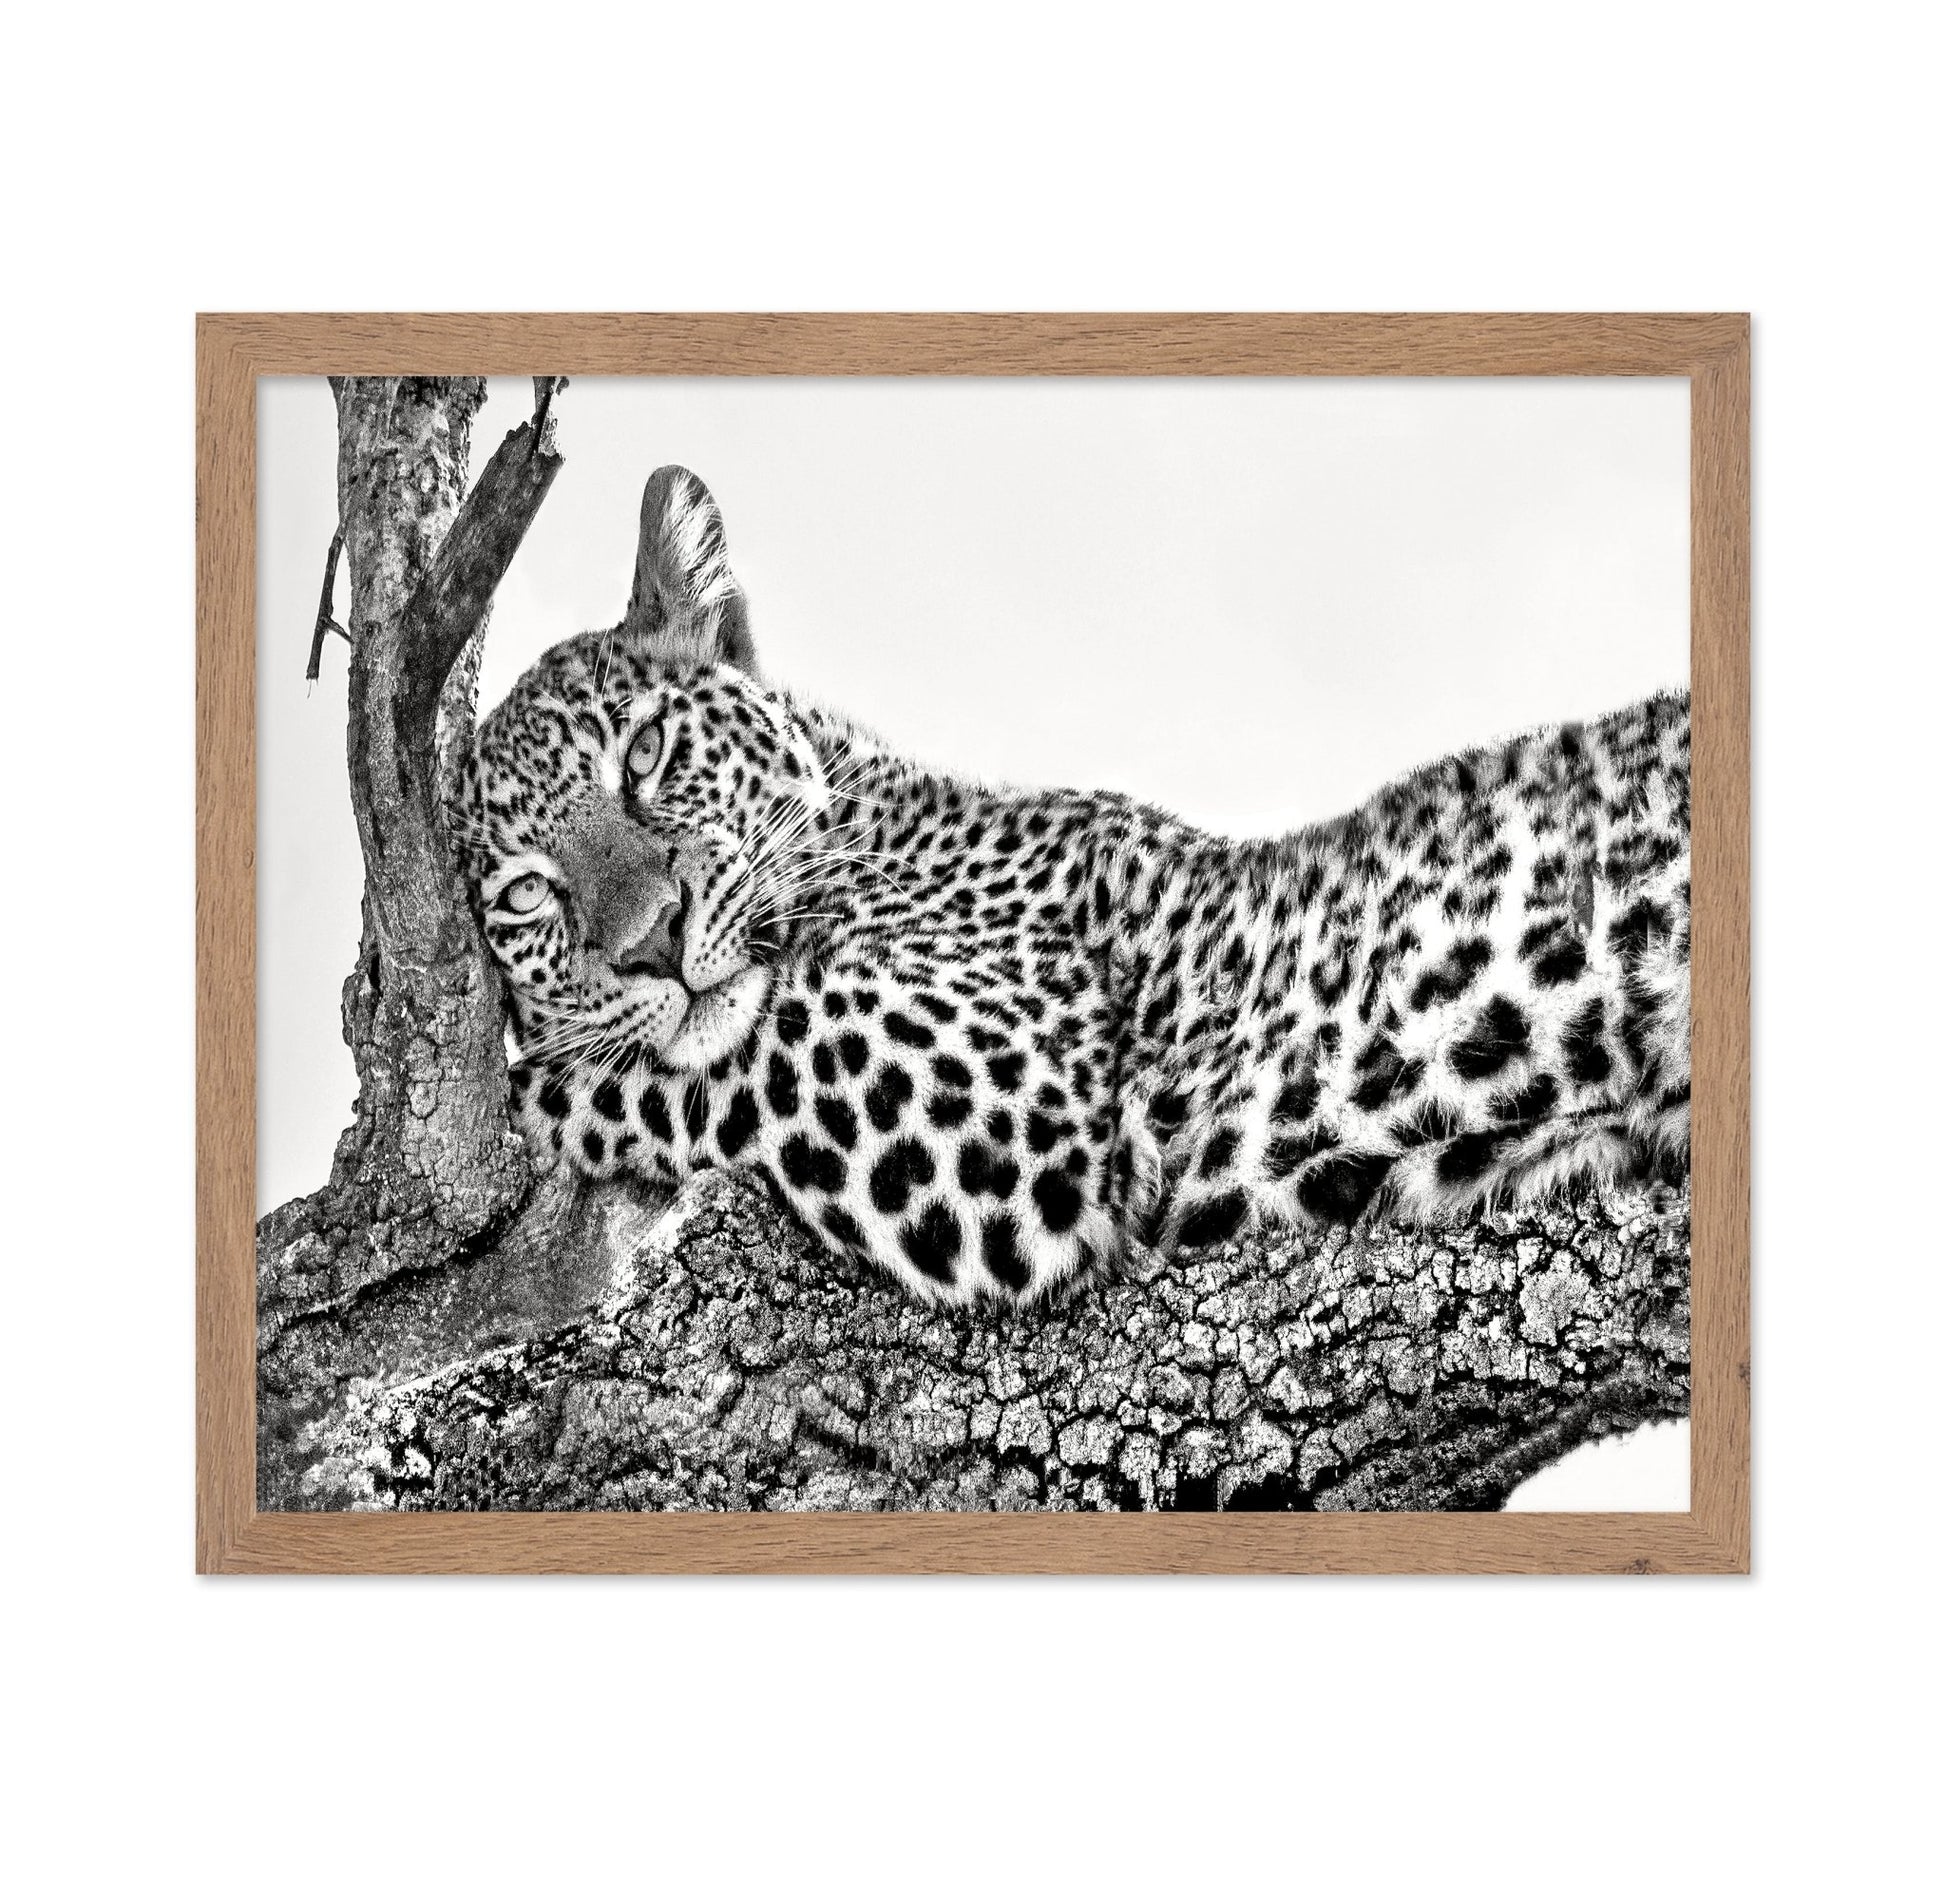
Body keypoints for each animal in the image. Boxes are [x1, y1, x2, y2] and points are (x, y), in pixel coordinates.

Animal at [459, 464, 1691, 1306]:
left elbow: (702, 1063)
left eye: (647, 753)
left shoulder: (1005, 1101)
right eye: (524, 895)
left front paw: (530, 1089)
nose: (652, 941)